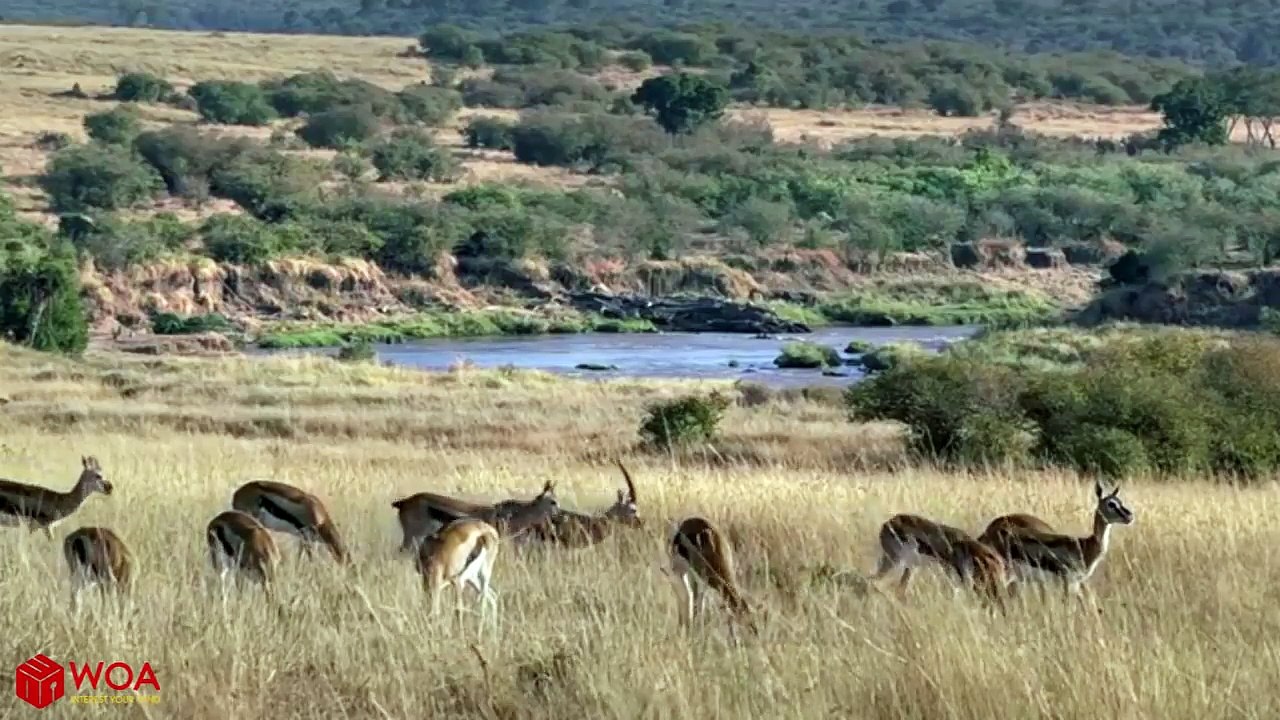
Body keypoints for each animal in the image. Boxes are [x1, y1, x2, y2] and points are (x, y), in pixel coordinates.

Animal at [980, 479, 1135, 605]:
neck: (1084, 546)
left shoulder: (1076, 583)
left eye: (1120, 502)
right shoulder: (1068, 581)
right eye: (1111, 504)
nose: (1130, 516)